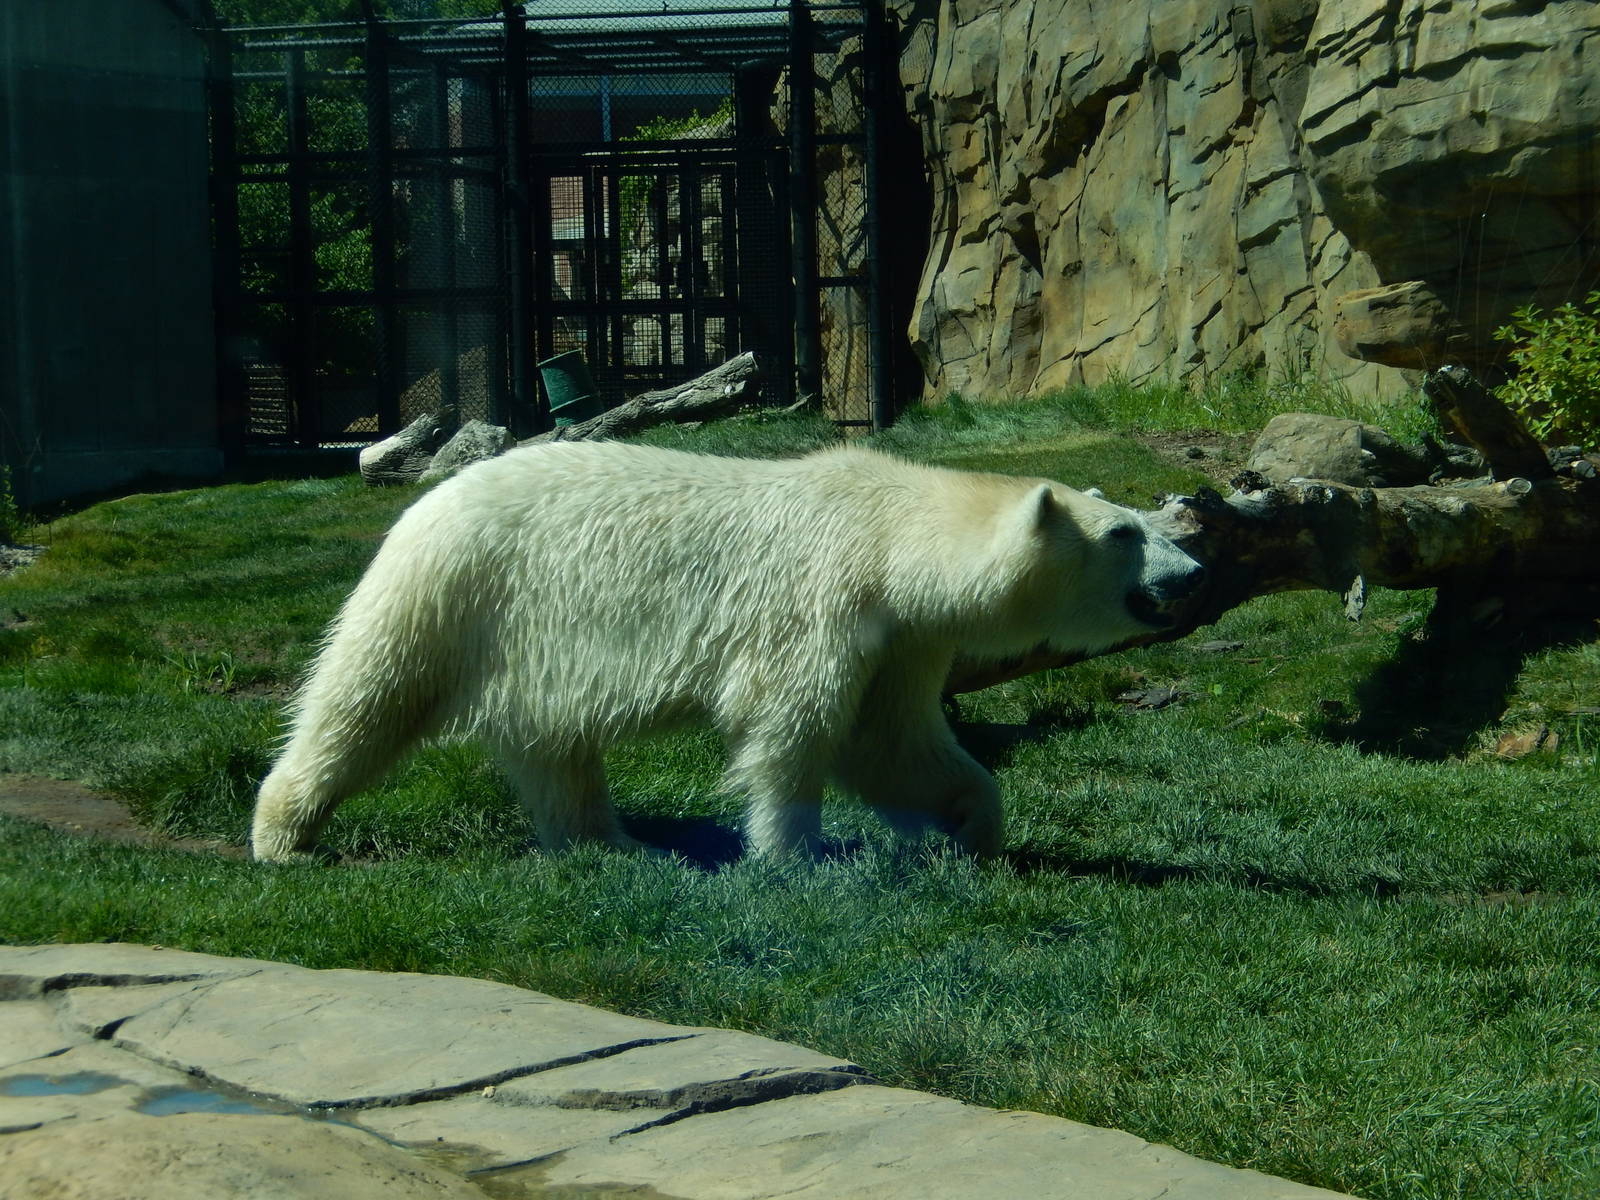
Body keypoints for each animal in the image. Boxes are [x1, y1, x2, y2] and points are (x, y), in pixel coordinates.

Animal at [250, 441, 1206, 863]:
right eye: (1124, 532)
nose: (1194, 571)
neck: (888, 529)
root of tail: (430, 498)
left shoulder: (900, 636)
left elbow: (892, 742)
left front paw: (973, 825)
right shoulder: (820, 603)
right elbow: (791, 730)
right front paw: (791, 855)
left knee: (552, 743)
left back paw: (611, 842)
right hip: (456, 590)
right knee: (370, 695)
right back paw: (283, 832)